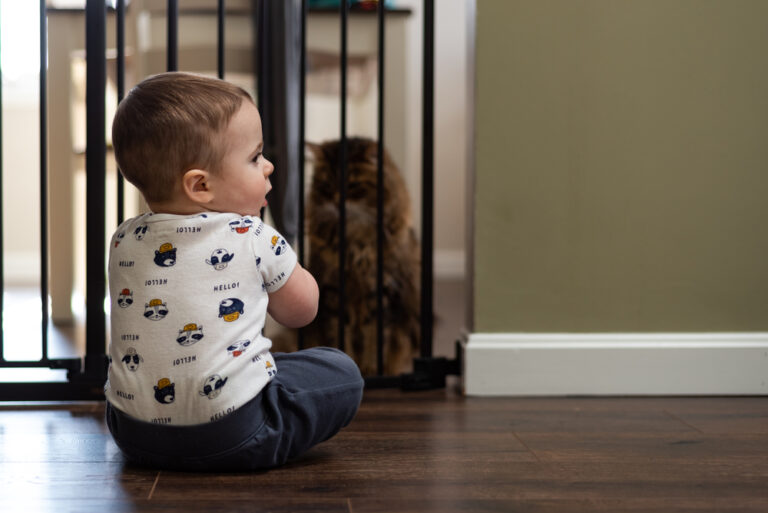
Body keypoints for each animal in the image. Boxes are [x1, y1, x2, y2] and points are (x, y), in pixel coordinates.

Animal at [304, 137, 420, 376]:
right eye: (327, 184)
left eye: (353, 185)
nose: (336, 201)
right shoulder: (334, 290)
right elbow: (341, 334)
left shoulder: (381, 290)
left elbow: (375, 336)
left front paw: (371, 370)